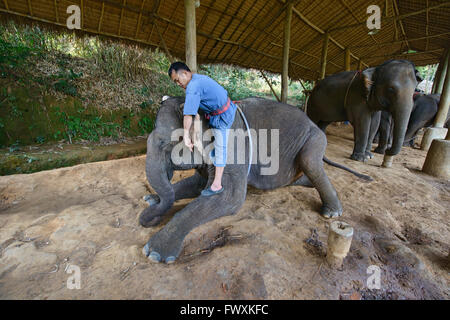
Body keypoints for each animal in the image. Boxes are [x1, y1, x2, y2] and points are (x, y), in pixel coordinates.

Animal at [139, 96, 370, 264]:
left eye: (165, 144)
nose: (151, 219)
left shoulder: (232, 147)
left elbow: (230, 197)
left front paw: (154, 253)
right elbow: (197, 185)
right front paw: (150, 200)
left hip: (315, 139)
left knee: (310, 162)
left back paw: (332, 213)